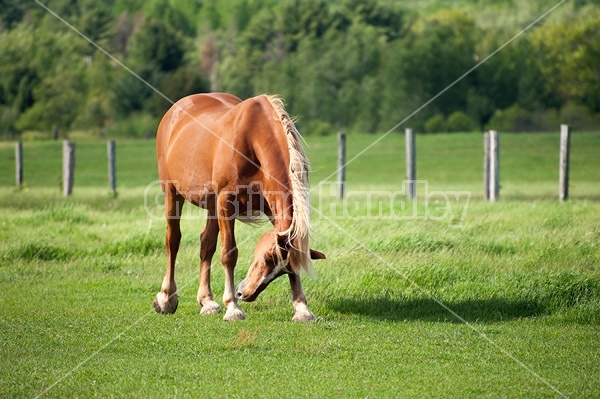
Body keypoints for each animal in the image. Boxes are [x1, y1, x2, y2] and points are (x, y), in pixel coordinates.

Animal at [152, 94, 326, 322]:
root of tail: (176, 110)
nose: (246, 294)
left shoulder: (270, 208)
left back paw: (207, 301)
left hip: (212, 206)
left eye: (282, 269)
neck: (254, 139)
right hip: (172, 193)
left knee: (206, 244)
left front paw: (301, 308)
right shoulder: (226, 202)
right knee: (173, 240)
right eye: (267, 258)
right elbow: (229, 253)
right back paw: (166, 298)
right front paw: (232, 307)